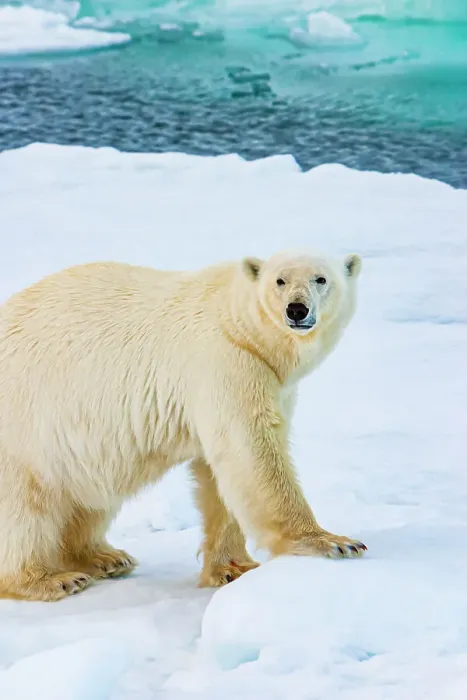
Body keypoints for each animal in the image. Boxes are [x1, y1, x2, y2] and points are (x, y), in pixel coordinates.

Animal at [0, 250, 366, 602]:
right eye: (280, 280)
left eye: (321, 279)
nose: (297, 309)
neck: (235, 322)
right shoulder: (227, 363)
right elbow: (251, 452)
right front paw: (334, 542)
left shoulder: (270, 381)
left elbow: (219, 471)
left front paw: (233, 568)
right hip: (26, 425)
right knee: (24, 506)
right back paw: (49, 579)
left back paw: (104, 557)